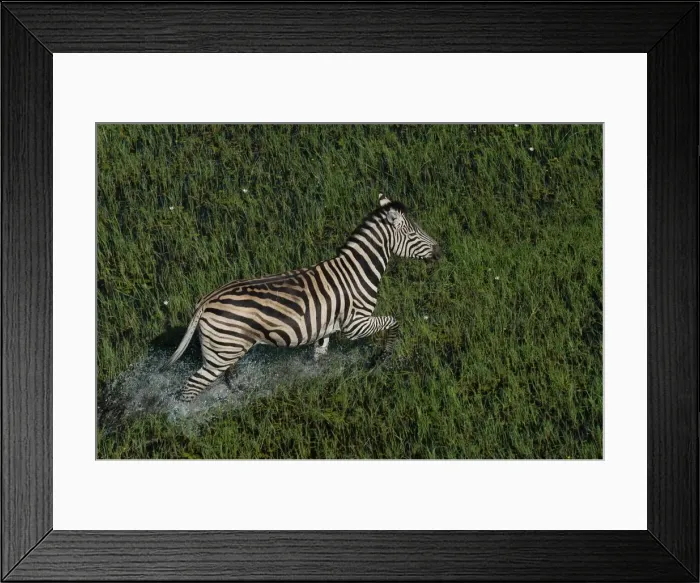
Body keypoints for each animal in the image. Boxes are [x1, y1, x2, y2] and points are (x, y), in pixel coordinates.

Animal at [162, 193, 441, 401]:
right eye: (414, 233)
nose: (440, 250)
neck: (356, 271)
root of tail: (206, 300)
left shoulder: (326, 327)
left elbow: (320, 354)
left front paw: (318, 376)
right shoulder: (355, 324)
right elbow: (394, 322)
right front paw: (383, 358)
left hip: (225, 350)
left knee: (225, 378)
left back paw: (240, 395)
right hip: (220, 354)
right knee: (190, 390)